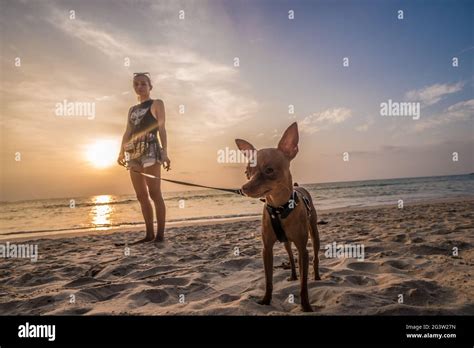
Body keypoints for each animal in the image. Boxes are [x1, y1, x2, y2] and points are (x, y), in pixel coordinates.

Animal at [235, 121, 320, 312]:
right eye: (247, 172)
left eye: (269, 170)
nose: (244, 188)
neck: (279, 207)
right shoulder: (267, 249)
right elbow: (268, 280)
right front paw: (266, 300)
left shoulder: (303, 250)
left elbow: (304, 285)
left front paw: (306, 306)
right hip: (286, 242)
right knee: (290, 257)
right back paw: (293, 275)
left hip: (314, 234)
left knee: (316, 256)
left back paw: (317, 276)